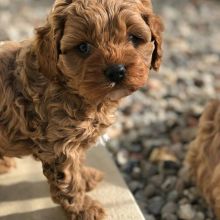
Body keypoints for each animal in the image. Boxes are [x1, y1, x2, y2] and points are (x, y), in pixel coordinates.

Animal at [0, 0, 162, 219]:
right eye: (83, 47)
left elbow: (77, 166)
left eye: (133, 38)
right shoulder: (59, 148)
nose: (116, 71)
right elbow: (68, 180)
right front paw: (84, 208)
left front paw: (85, 178)